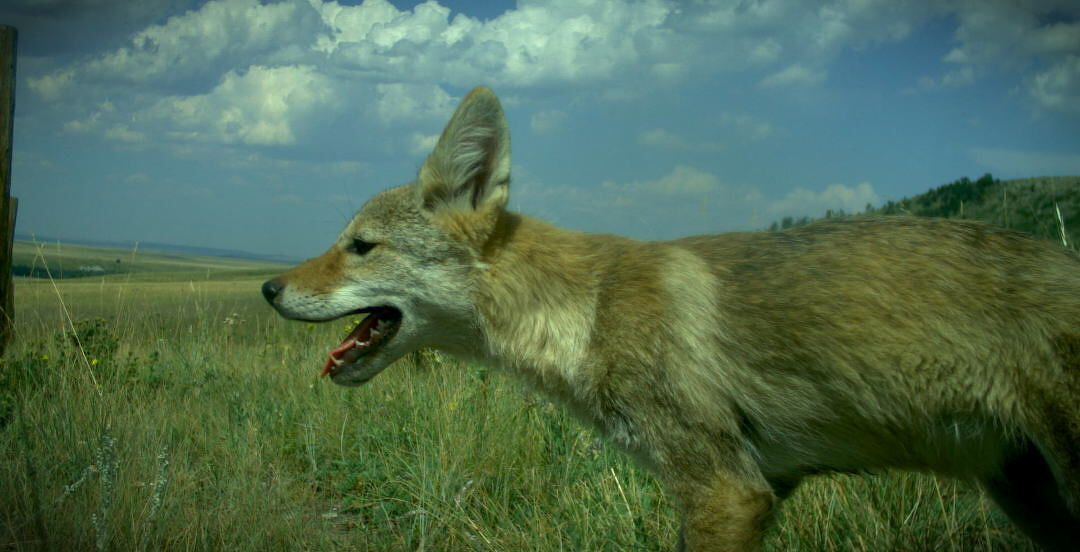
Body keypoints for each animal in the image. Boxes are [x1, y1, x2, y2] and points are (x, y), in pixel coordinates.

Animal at [262, 86, 1080, 551]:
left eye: (359, 246)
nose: (267, 288)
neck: (580, 313)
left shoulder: (727, 492)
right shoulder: (754, 489)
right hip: (1028, 497)